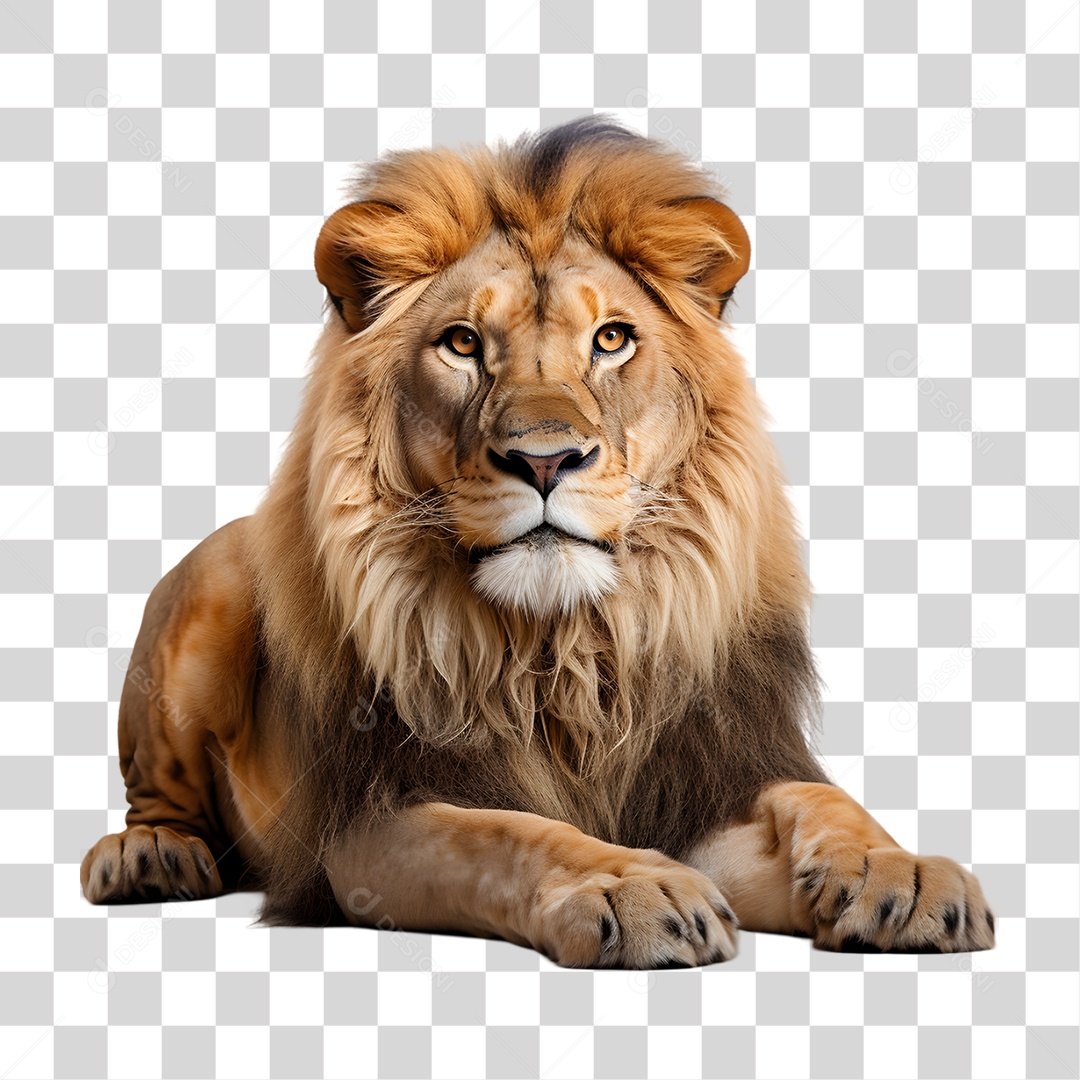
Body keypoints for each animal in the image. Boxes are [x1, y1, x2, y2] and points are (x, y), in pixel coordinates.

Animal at [81, 117, 995, 967]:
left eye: (612, 339)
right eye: (462, 344)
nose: (546, 459)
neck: (564, 654)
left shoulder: (697, 787)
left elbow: (816, 799)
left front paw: (901, 872)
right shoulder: (371, 824)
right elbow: (511, 835)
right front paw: (629, 886)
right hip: (208, 593)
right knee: (157, 796)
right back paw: (150, 855)